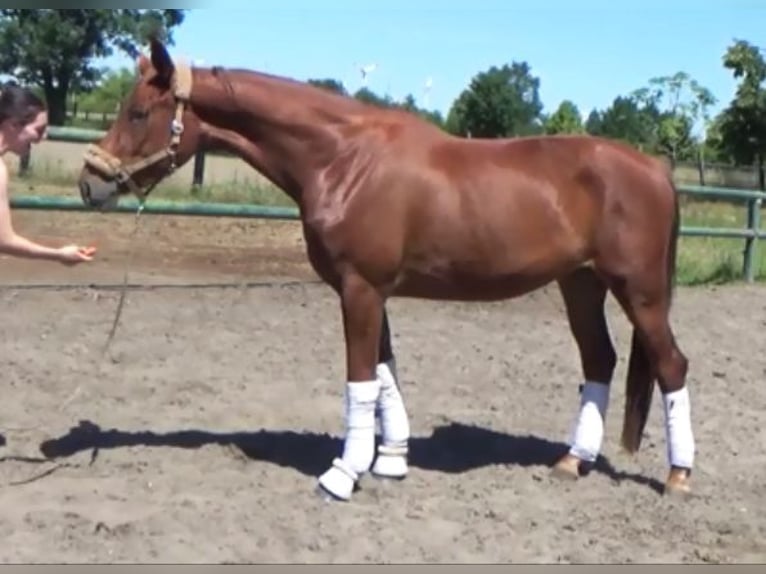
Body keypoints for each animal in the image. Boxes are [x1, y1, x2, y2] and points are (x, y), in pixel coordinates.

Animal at [76, 38, 696, 502]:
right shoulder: (371, 292)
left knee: (671, 364)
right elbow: (384, 374)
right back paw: (572, 461)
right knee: (600, 361)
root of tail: (655, 168)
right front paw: (392, 461)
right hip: (581, 284)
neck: (344, 159)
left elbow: (359, 381)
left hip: (639, 291)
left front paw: (342, 474)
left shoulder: (360, 289)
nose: (90, 183)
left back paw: (678, 476)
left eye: (138, 112)